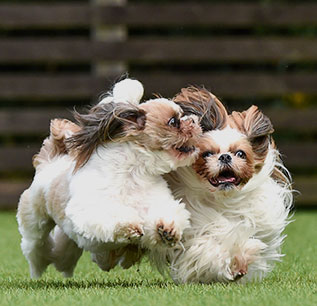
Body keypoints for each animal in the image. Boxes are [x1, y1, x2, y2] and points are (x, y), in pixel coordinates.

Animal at [16, 78, 201, 278]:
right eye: (173, 121)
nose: (193, 120)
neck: (134, 172)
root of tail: (50, 162)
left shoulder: (157, 201)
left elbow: (167, 214)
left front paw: (166, 230)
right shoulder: (90, 209)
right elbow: (113, 217)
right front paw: (129, 226)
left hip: (67, 241)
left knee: (63, 255)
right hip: (34, 220)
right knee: (35, 245)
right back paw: (37, 268)